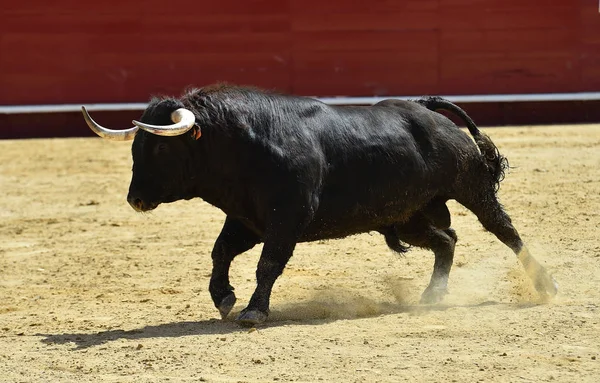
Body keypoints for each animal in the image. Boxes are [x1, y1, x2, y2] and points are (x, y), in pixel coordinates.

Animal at [83, 85, 556, 326]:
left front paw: (253, 311)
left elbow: (268, 264)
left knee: (506, 232)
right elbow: (220, 252)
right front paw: (223, 298)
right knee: (447, 240)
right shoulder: (246, 219)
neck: (241, 147)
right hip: (405, 215)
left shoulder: (285, 220)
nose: (135, 199)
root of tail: (426, 110)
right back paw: (432, 296)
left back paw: (546, 285)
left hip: (471, 188)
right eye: (136, 147)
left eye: (162, 148)